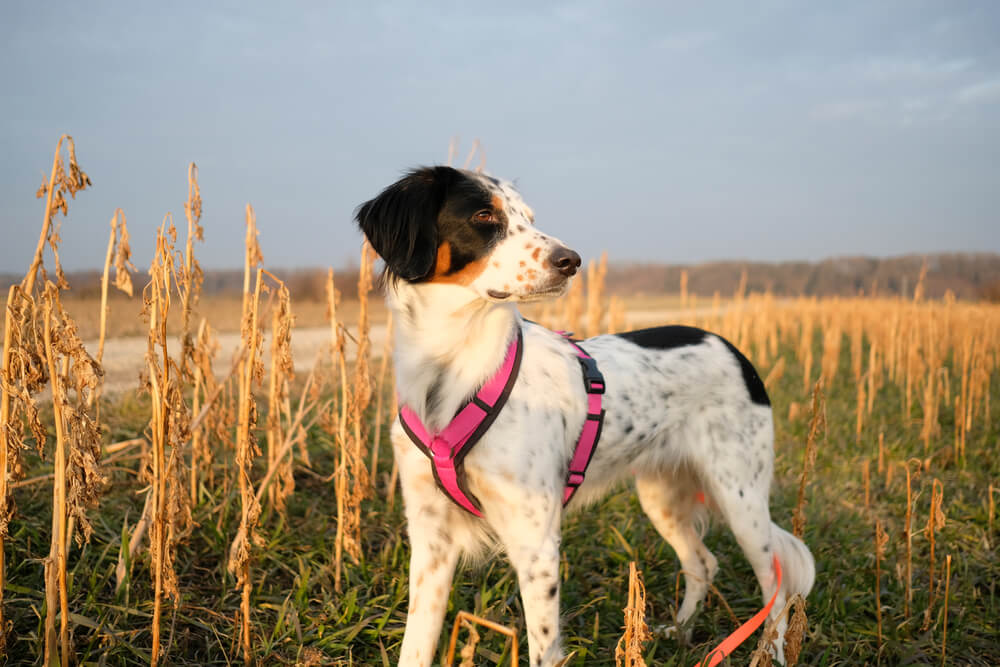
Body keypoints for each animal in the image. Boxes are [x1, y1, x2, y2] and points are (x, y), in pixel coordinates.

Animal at [356, 167, 816, 667]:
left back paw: (771, 651)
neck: (452, 369)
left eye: (529, 216)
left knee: (775, 586)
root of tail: (734, 350)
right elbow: (416, 644)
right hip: (662, 496)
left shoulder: (536, 544)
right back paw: (679, 631)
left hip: (740, 498)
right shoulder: (431, 539)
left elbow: (542, 648)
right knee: (702, 562)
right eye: (484, 216)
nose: (571, 260)